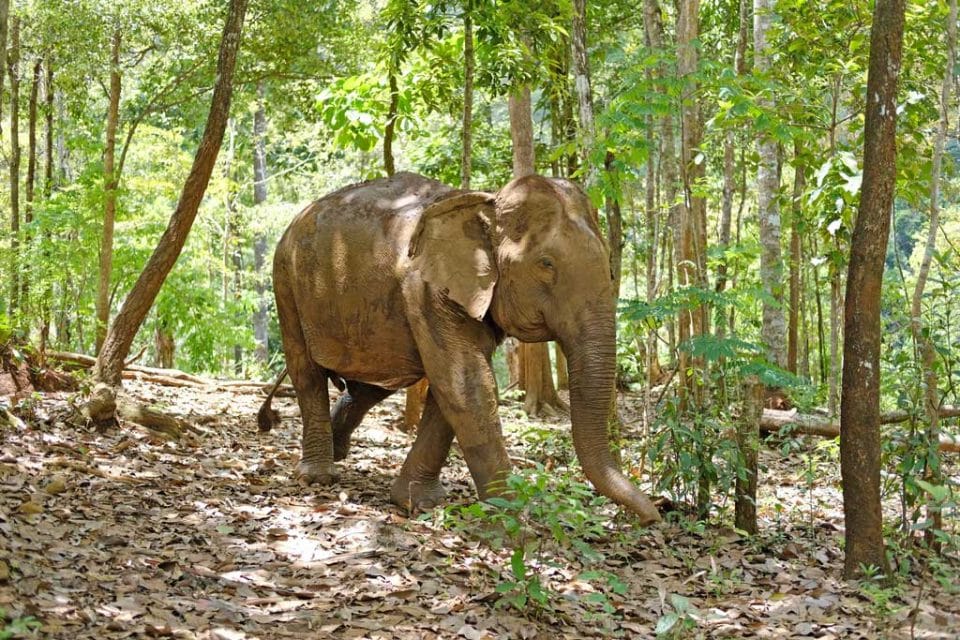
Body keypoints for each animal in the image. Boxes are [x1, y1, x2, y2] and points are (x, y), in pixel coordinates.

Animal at [257, 171, 661, 525]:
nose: (652, 517)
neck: (486, 202)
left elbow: (450, 387)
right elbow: (466, 384)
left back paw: (339, 450)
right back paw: (318, 475)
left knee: (370, 384)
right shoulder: (426, 289)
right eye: (546, 264)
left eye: (609, 265)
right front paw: (512, 519)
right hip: (285, 280)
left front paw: (418, 501)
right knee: (306, 372)